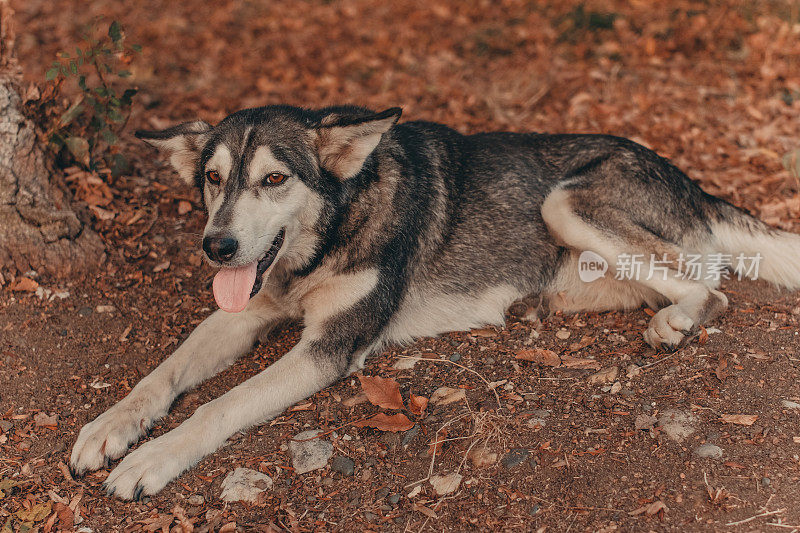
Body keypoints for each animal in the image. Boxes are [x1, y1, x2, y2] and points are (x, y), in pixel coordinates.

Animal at [70, 105, 800, 498]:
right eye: (213, 179)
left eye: (274, 180)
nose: (216, 246)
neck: (330, 234)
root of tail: (692, 182)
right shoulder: (244, 311)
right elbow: (160, 375)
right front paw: (108, 429)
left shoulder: (328, 348)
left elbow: (216, 406)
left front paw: (149, 459)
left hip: (565, 203)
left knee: (713, 287)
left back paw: (675, 323)